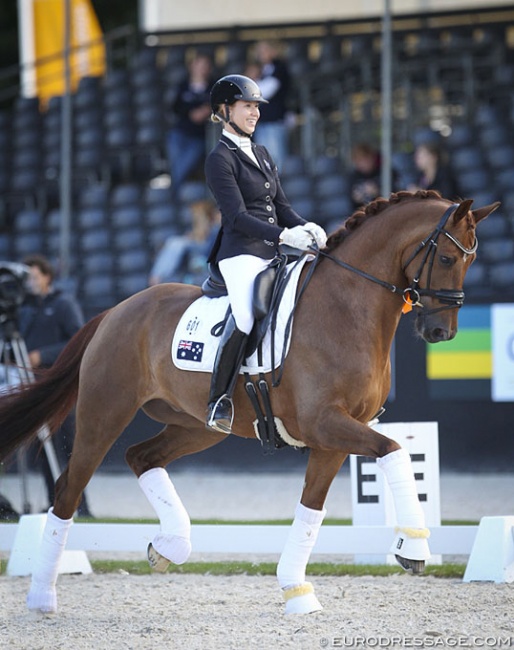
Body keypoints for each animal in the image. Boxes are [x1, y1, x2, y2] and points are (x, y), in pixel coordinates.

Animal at [0, 187, 496, 612]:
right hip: (104, 412)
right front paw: (413, 546)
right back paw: (42, 597)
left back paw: (169, 545)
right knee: (68, 489)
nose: (441, 332)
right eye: (447, 257)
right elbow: (395, 451)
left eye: (471, 262)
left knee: (140, 456)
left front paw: (296, 592)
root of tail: (115, 311)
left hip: (196, 426)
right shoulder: (325, 423)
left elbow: (311, 510)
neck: (346, 308)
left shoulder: (334, 437)